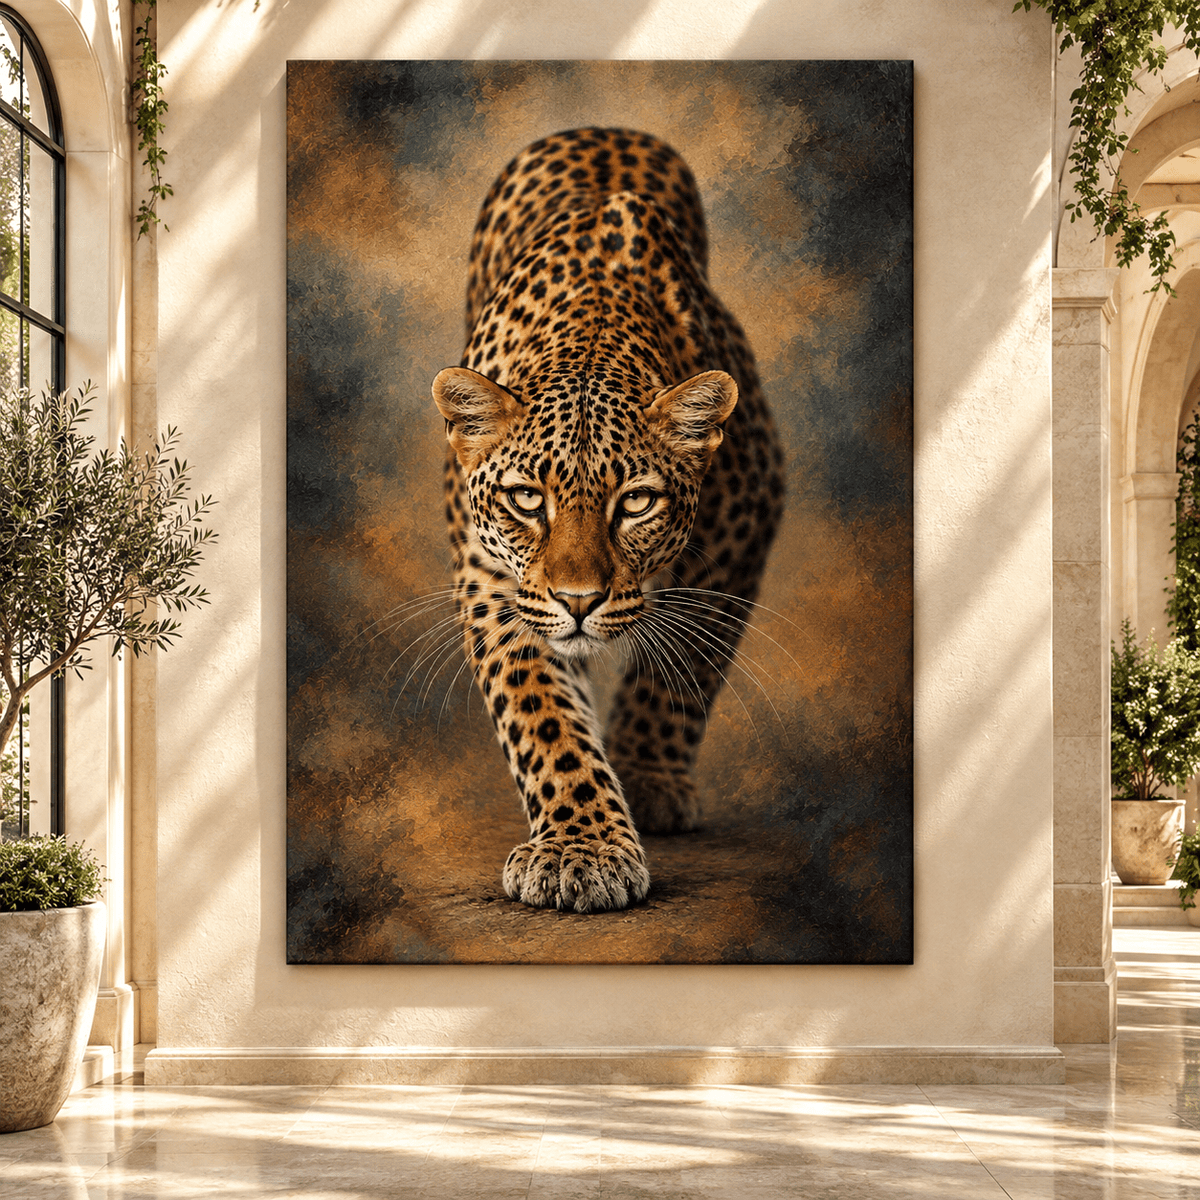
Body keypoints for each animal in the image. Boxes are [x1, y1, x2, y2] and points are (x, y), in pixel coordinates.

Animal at [431, 127, 784, 913]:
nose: (579, 601)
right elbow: (541, 714)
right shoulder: (495, 580)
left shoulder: (742, 527)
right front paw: (582, 849)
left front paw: (646, 781)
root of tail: (600, 128)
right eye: (527, 499)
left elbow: (686, 670)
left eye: (636, 502)